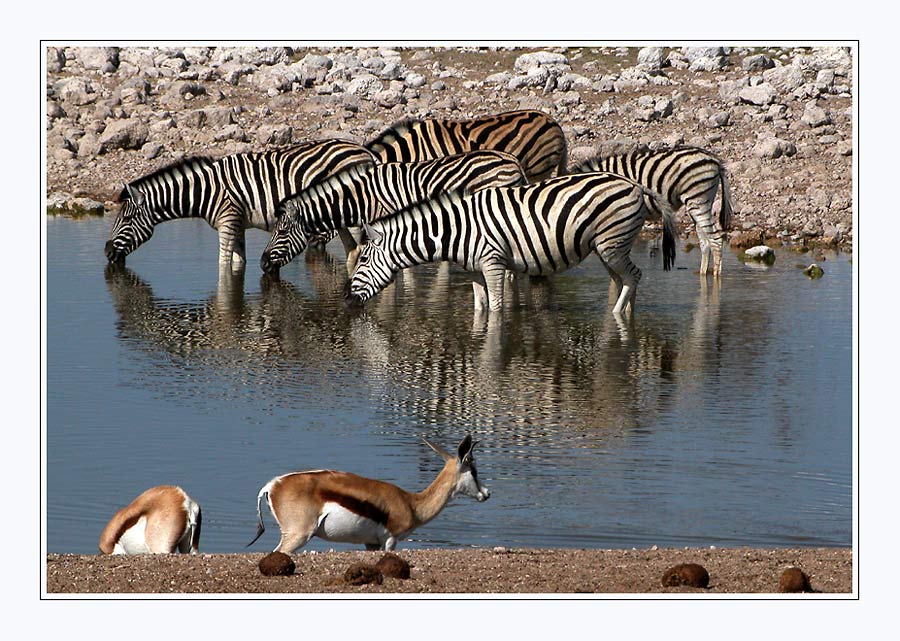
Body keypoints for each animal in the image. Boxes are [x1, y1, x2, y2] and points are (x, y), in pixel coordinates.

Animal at [103, 140, 374, 268]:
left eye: (125, 219)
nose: (107, 252)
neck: (204, 190)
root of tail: (364, 151)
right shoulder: (238, 225)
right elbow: (237, 263)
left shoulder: (227, 221)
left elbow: (222, 264)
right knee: (352, 250)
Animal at [348, 171, 680, 314]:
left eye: (363, 259)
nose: (347, 299)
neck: (454, 231)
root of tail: (635, 184)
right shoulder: (474, 270)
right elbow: (480, 307)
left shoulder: (493, 263)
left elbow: (496, 308)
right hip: (605, 247)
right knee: (624, 279)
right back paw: (626, 314)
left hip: (613, 244)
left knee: (633, 276)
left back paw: (617, 315)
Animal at [572, 145, 736, 276]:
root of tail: (715, 161)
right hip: (699, 203)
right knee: (705, 243)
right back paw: (702, 274)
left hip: (698, 199)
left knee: (716, 240)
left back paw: (716, 278)